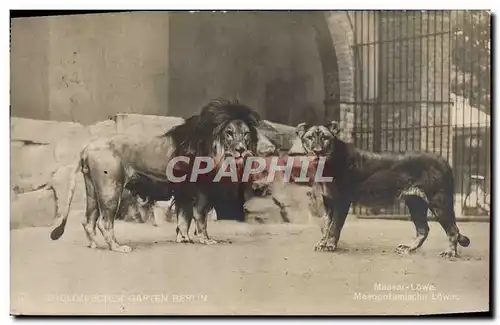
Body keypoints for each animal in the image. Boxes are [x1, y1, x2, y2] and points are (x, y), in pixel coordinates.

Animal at [49, 97, 270, 252]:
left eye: (246, 134)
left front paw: (184, 239)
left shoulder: (184, 193)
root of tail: (87, 147)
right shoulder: (201, 192)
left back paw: (94, 244)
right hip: (110, 188)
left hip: (93, 190)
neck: (214, 149)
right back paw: (117, 247)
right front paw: (206, 240)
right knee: (105, 222)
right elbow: (200, 219)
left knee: (88, 221)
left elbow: (183, 219)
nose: (241, 149)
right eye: (229, 133)